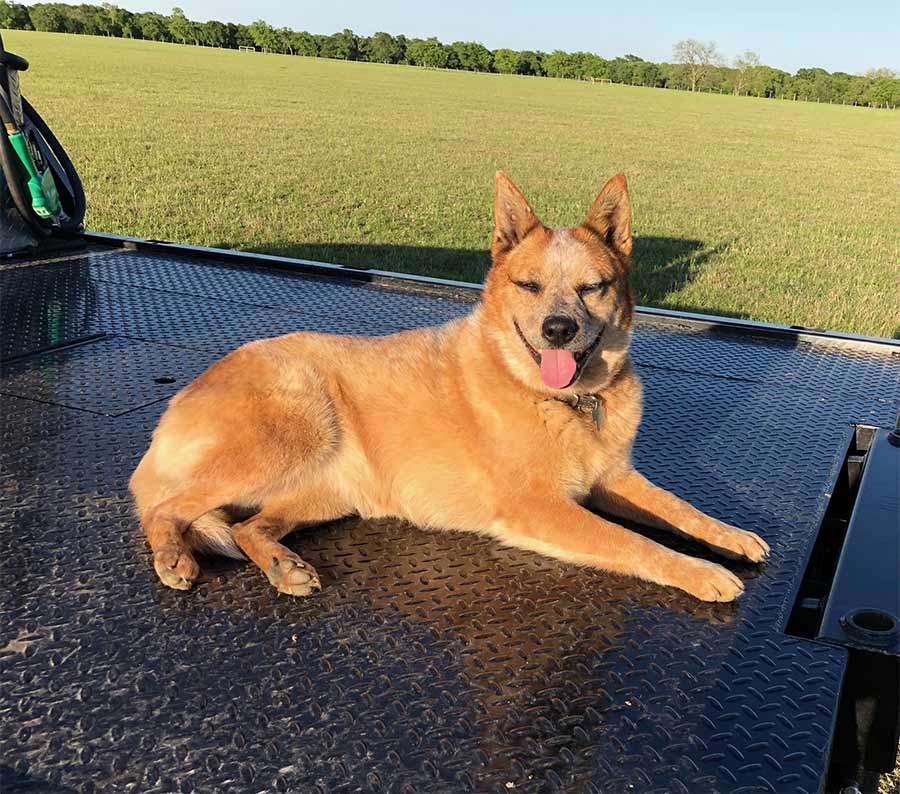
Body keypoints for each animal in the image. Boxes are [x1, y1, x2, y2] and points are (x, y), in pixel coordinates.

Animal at [130, 172, 768, 600]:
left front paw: (731, 536)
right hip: (294, 432)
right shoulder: (536, 508)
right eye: (529, 285)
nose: (558, 329)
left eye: (593, 287)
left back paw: (283, 565)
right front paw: (702, 572)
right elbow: (635, 542)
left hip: (328, 492)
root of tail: (178, 401)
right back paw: (174, 558)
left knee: (248, 527)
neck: (563, 401)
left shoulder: (612, 479)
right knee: (165, 508)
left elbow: (681, 508)